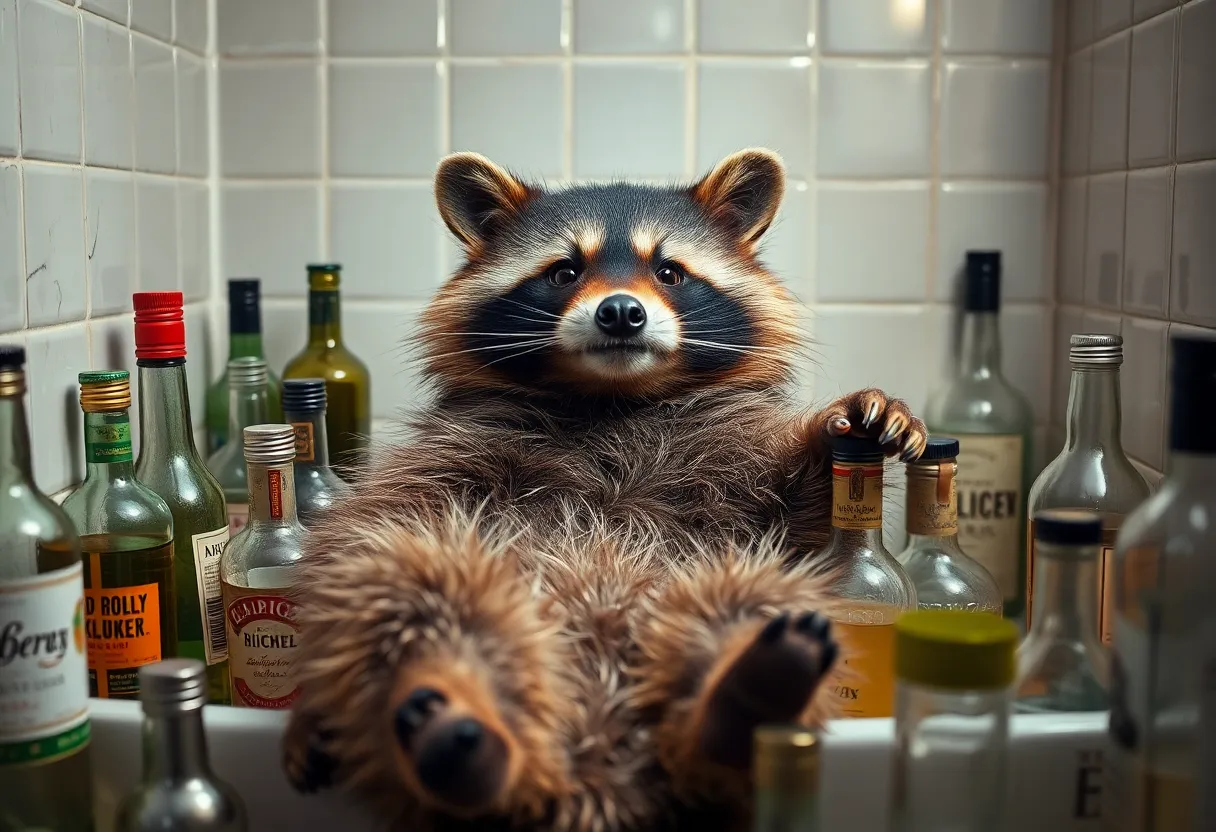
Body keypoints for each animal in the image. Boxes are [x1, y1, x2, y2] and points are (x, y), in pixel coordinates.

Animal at [283, 148, 928, 832]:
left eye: (669, 270)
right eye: (565, 271)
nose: (621, 311)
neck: (612, 398)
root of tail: (595, 772)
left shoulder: (735, 466)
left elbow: (797, 515)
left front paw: (838, 432)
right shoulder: (448, 453)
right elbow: (363, 532)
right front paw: (309, 709)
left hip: (720, 593)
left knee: (751, 597)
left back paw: (746, 695)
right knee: (405, 576)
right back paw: (447, 709)